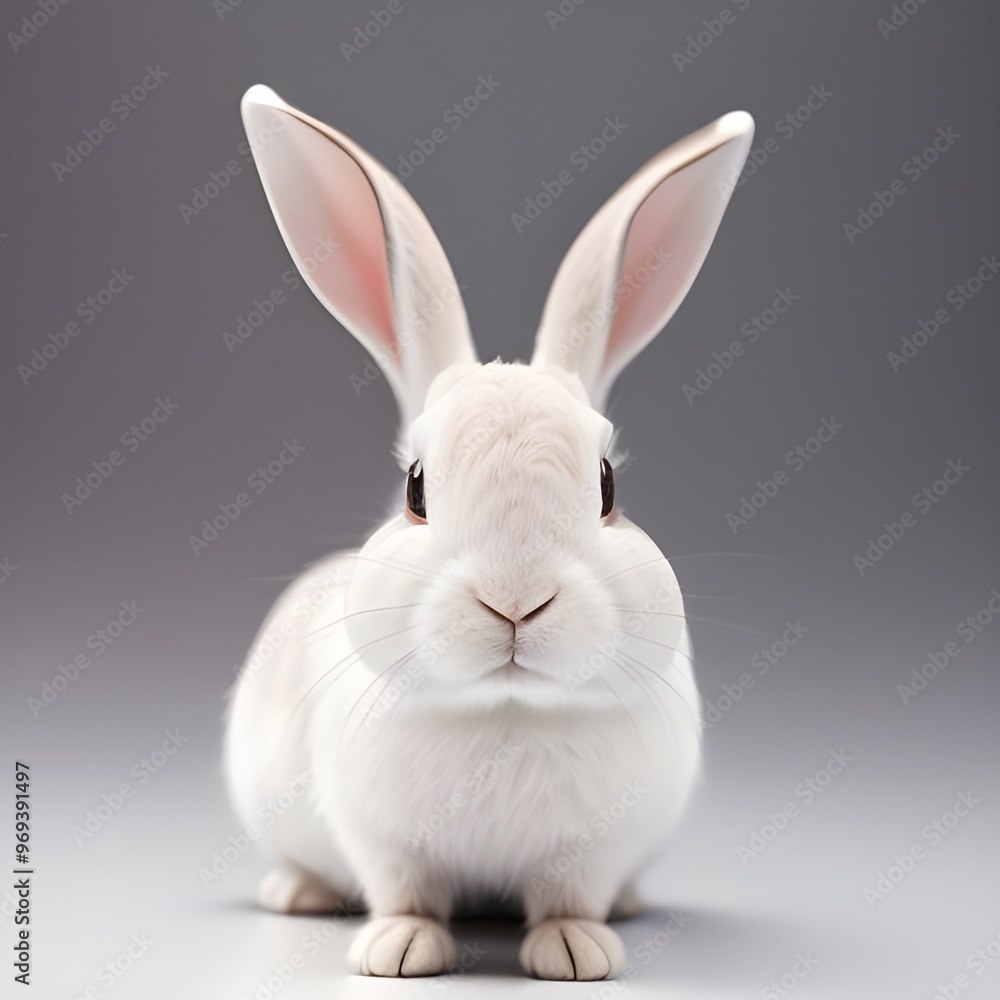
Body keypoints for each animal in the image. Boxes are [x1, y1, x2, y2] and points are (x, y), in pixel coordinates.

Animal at [225, 83, 753, 981]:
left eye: (608, 487)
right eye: (416, 488)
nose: (516, 600)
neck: (507, 711)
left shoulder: (593, 849)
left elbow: (571, 896)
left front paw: (578, 952)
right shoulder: (382, 838)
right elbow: (403, 890)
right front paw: (399, 952)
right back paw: (296, 894)